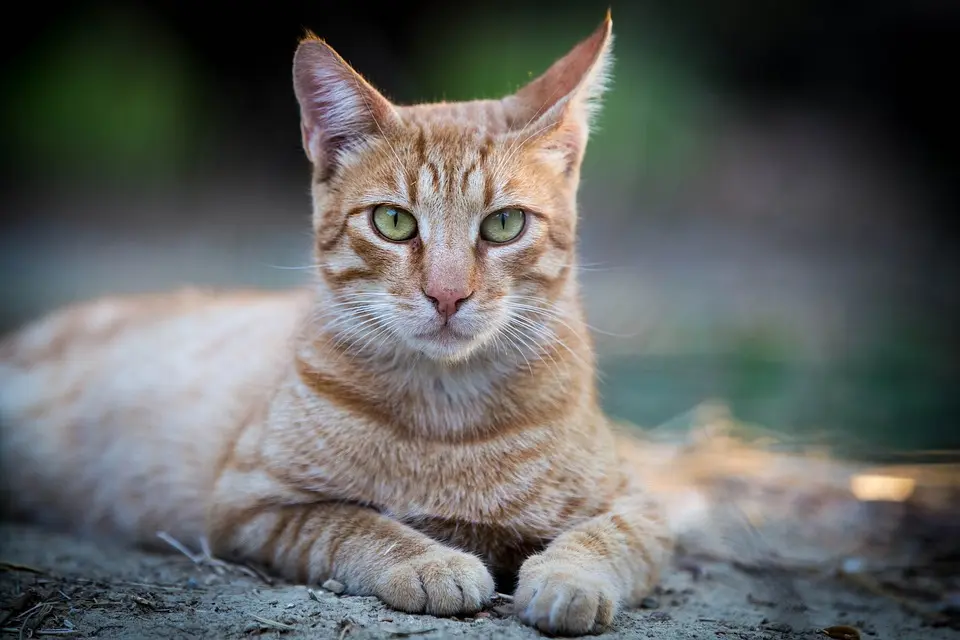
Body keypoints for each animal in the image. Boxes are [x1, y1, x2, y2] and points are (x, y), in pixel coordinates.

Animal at [0, 13, 676, 636]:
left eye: (504, 224)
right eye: (394, 222)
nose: (447, 295)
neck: (447, 414)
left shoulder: (643, 505)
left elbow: (606, 536)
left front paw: (568, 580)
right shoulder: (252, 506)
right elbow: (355, 523)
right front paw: (430, 561)